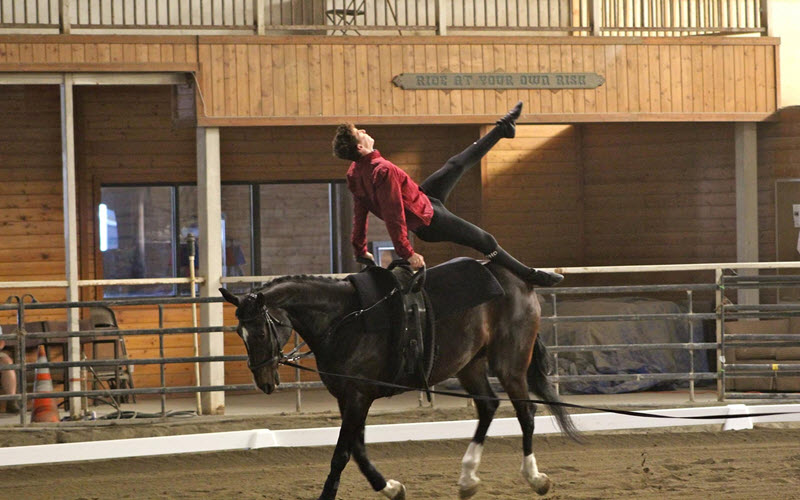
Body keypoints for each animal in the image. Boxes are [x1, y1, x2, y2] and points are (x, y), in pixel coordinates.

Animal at [222, 264, 580, 498]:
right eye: (239, 333)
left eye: (259, 332)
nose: (265, 381)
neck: (345, 319)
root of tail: (519, 281)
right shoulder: (349, 397)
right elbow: (357, 449)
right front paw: (391, 488)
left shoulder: (357, 396)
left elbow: (342, 453)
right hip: (470, 364)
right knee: (488, 406)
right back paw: (468, 479)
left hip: (510, 364)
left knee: (526, 413)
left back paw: (535, 478)